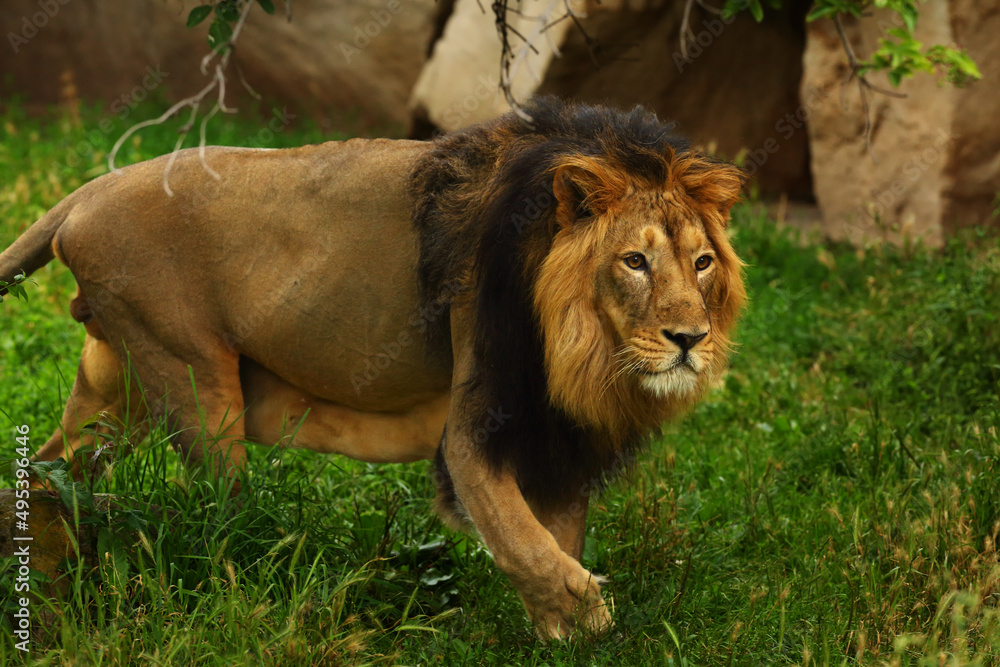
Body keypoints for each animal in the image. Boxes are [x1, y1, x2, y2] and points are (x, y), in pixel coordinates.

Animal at [0, 97, 746, 639]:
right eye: (634, 261)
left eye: (702, 262)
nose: (690, 338)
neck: (582, 348)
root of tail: (86, 192)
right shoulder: (478, 419)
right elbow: (522, 540)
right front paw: (588, 610)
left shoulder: (556, 433)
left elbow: (554, 535)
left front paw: (562, 634)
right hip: (193, 381)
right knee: (220, 518)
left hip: (115, 386)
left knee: (48, 471)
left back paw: (48, 577)